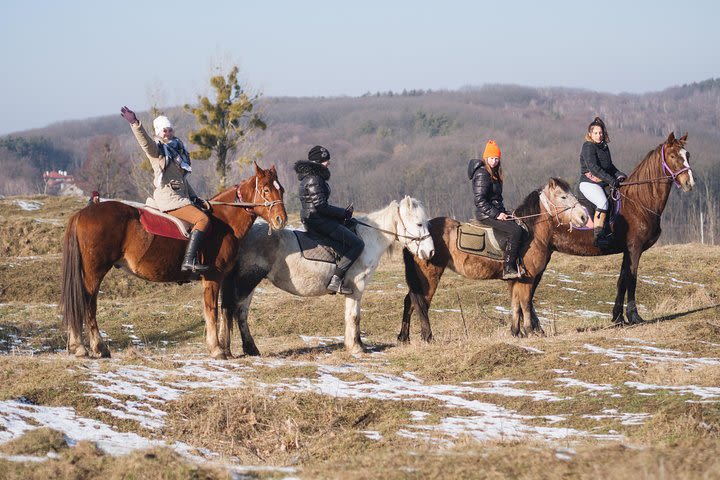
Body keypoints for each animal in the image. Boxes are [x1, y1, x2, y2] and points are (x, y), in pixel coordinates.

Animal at [59, 163, 286, 358]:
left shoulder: (222, 279)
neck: (224, 222)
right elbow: (211, 311)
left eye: (281, 190)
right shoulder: (212, 277)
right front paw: (216, 349)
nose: (280, 220)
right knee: (87, 303)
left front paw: (223, 348)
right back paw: (95, 347)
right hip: (94, 272)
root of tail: (82, 213)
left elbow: (223, 310)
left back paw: (78, 346)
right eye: (266, 190)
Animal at [219, 195, 434, 356]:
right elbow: (354, 316)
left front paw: (354, 344)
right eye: (419, 224)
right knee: (231, 310)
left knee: (240, 313)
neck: (368, 238)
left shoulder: (352, 290)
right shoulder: (357, 286)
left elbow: (351, 315)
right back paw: (226, 350)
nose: (430, 252)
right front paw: (356, 347)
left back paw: (250, 349)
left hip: (249, 283)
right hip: (247, 281)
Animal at [396, 178, 588, 340]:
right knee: (420, 303)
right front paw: (528, 331)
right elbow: (525, 303)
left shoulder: (516, 279)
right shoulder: (528, 278)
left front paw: (516, 332)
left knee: (410, 301)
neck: (531, 233)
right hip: (429, 275)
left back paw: (404, 338)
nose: (584, 217)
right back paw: (427, 337)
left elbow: (516, 304)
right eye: (563, 196)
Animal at [524, 132, 696, 326]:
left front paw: (618, 317)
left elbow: (622, 281)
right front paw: (634, 316)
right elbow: (632, 280)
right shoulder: (635, 248)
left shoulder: (627, 251)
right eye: (673, 156)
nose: (689, 183)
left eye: (687, 155)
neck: (639, 202)